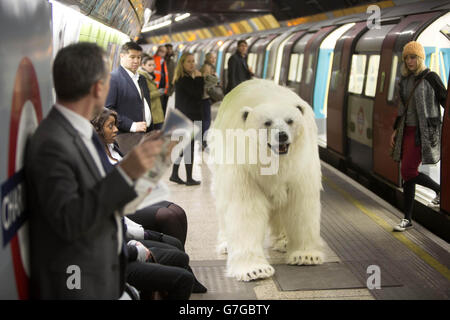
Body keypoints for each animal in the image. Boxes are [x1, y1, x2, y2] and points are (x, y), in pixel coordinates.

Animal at [211, 79, 324, 282]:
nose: (282, 136)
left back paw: (284, 241)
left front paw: (306, 256)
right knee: (223, 203)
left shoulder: (300, 167)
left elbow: (301, 204)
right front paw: (255, 270)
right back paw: (225, 244)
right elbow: (245, 208)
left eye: (290, 120)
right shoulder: (244, 166)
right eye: (267, 122)